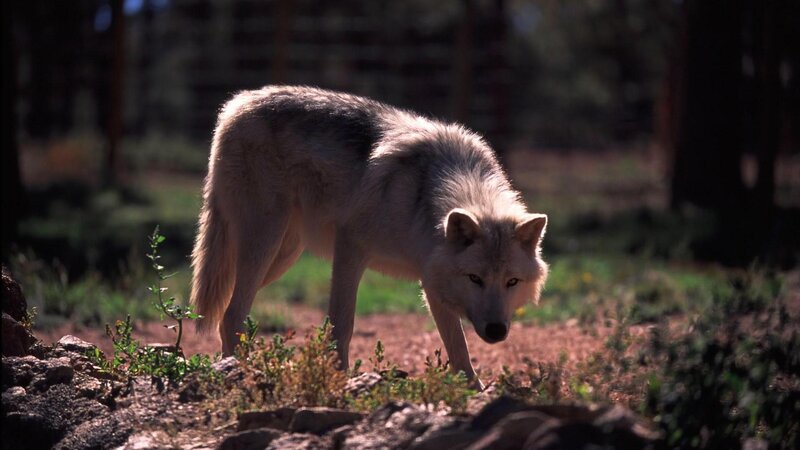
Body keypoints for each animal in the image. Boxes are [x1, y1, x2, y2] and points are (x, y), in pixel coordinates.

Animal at [190, 86, 548, 385]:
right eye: (475, 278)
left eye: (512, 282)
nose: (496, 331)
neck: (423, 198)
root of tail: (237, 104)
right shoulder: (350, 248)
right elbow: (342, 324)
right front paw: (338, 380)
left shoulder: (431, 280)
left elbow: (458, 347)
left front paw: (474, 391)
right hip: (265, 244)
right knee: (231, 315)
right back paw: (237, 373)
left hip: (281, 257)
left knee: (226, 311)